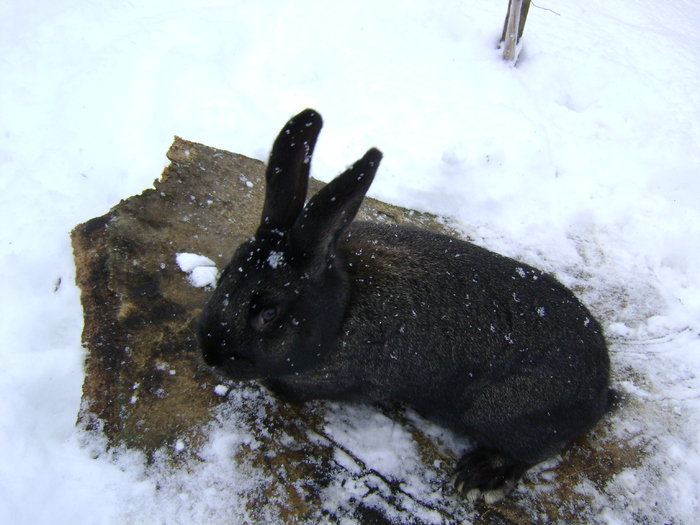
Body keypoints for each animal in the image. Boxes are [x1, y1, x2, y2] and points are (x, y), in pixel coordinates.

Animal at [197, 107, 612, 504]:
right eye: (227, 274)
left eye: (268, 315)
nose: (210, 354)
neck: (343, 308)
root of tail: (601, 387)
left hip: (499, 410)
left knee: (530, 451)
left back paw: (479, 477)